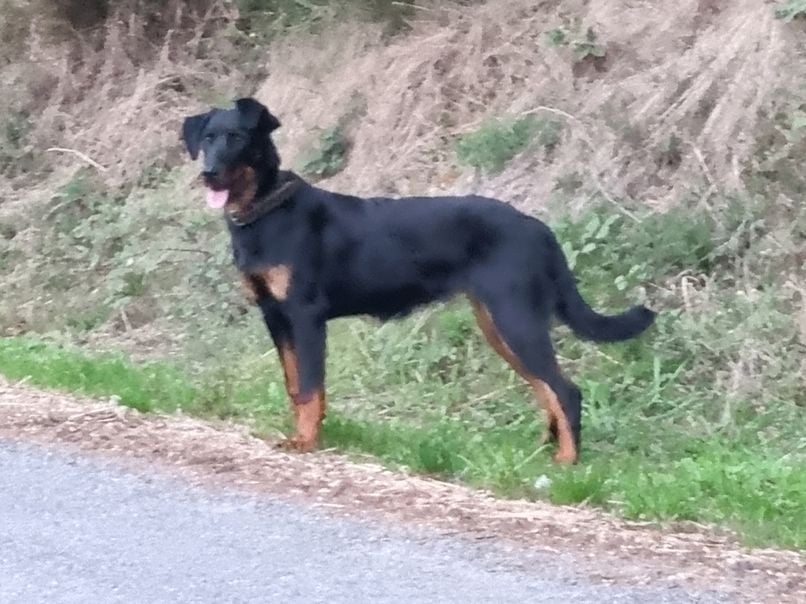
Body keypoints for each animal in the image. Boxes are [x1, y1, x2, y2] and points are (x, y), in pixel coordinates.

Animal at [183, 99, 656, 464]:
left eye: (237, 138)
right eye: (207, 138)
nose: (208, 172)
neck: (267, 213)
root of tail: (538, 227)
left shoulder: (305, 316)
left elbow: (311, 388)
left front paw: (307, 442)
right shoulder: (275, 318)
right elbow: (295, 385)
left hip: (514, 318)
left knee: (565, 390)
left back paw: (567, 462)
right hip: (498, 323)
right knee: (546, 389)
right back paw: (544, 450)